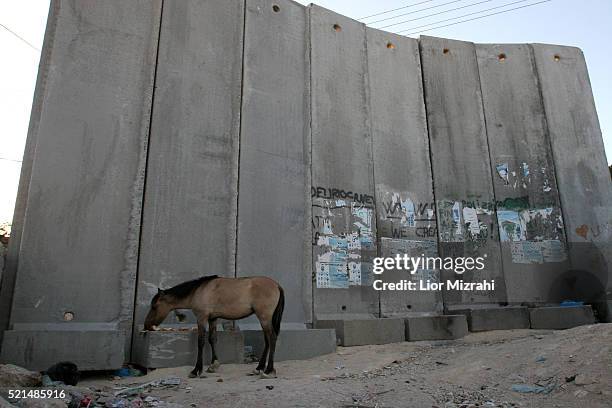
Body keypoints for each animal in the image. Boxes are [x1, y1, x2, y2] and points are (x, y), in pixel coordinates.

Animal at [144, 276, 284, 378]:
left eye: (154, 306)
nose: (147, 325)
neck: (198, 291)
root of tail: (277, 285)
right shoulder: (212, 319)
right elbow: (212, 339)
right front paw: (213, 365)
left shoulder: (202, 318)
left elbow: (201, 342)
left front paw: (196, 370)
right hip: (264, 319)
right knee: (267, 340)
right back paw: (259, 368)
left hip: (264, 318)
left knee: (272, 338)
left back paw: (269, 370)